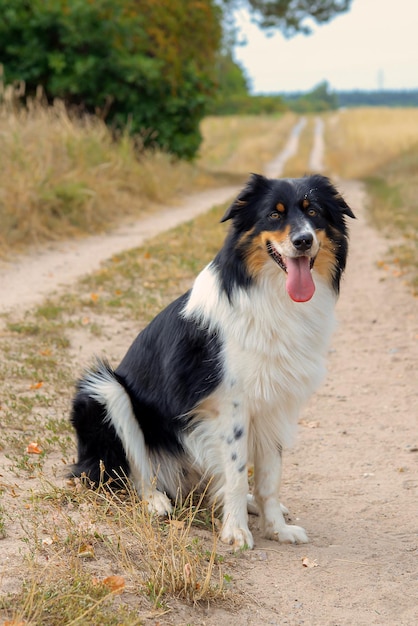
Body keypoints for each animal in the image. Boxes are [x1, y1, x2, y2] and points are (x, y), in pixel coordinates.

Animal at [70, 172, 354, 544]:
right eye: (273, 215)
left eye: (314, 212)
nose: (303, 241)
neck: (270, 294)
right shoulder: (230, 405)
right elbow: (235, 473)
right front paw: (235, 532)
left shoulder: (275, 402)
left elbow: (269, 478)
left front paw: (276, 528)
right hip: (104, 389)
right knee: (134, 472)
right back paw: (155, 501)